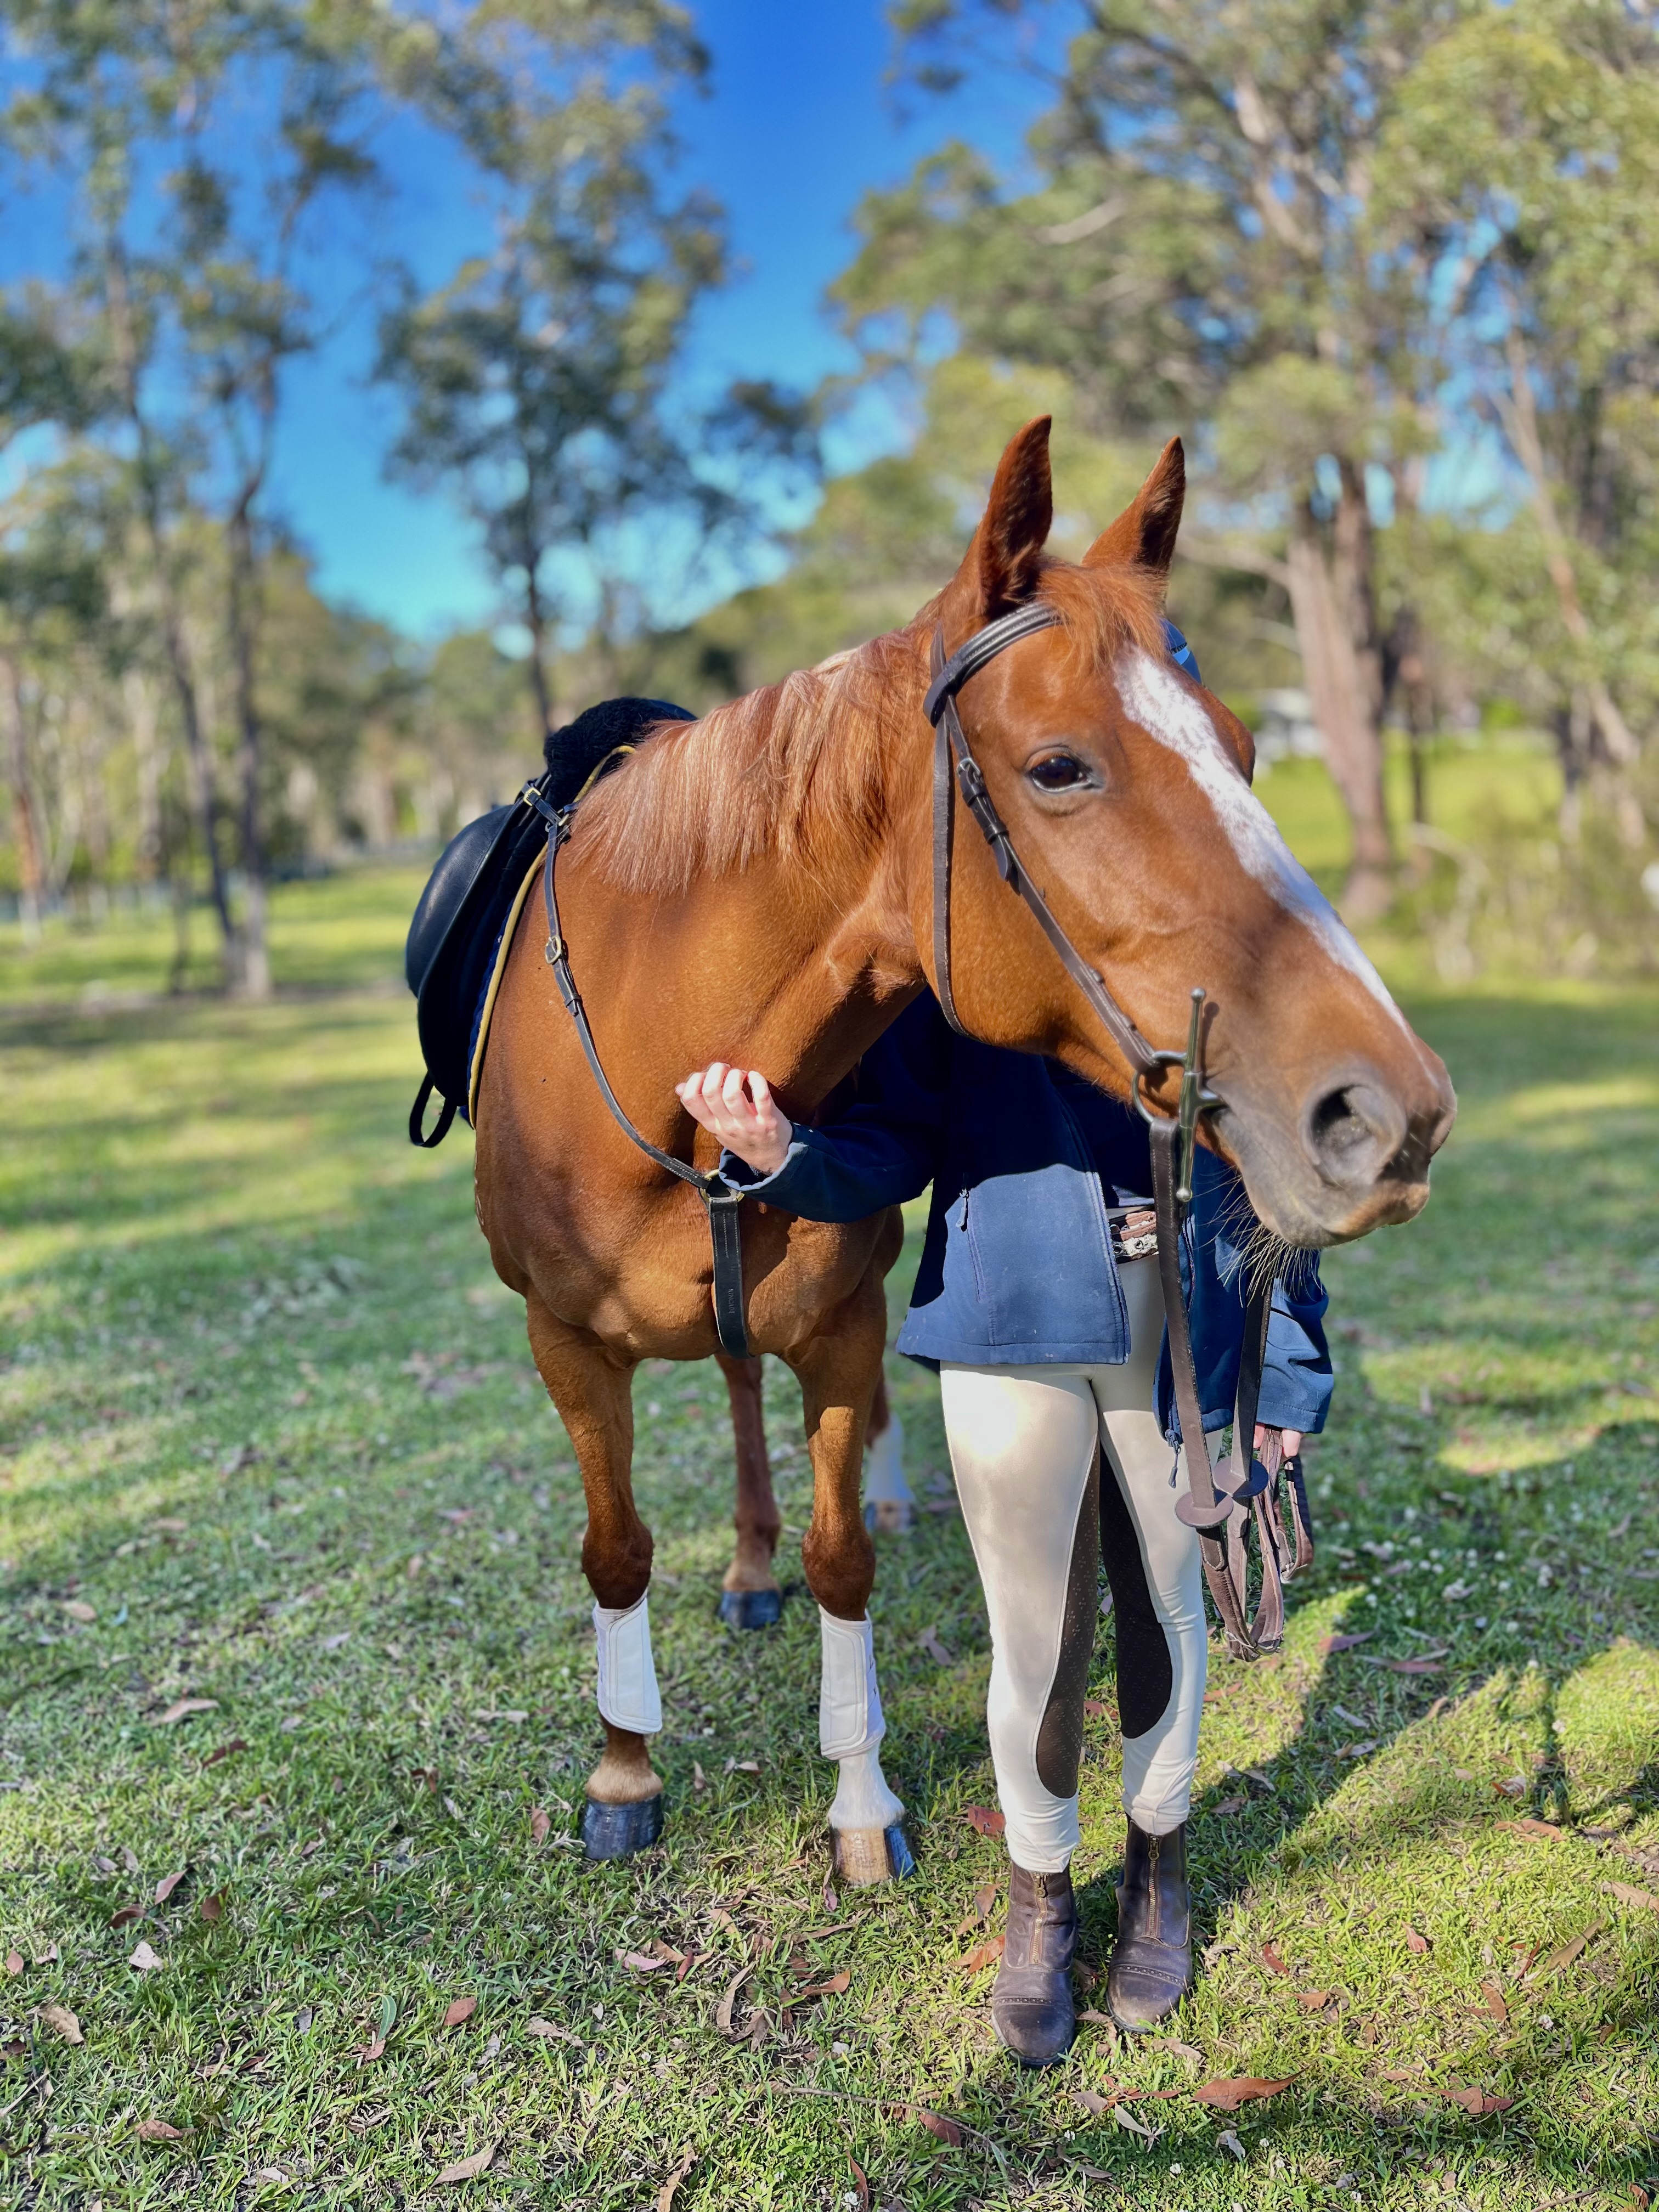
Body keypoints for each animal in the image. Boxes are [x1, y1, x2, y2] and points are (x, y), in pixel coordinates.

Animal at [472, 417, 1456, 1882]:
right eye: (1058, 768)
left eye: (1243, 748)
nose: (1391, 1113)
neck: (658, 1074)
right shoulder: (564, 1346)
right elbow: (616, 1551)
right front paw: (626, 1773)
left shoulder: (834, 1328)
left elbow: (842, 1558)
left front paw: (860, 1804)